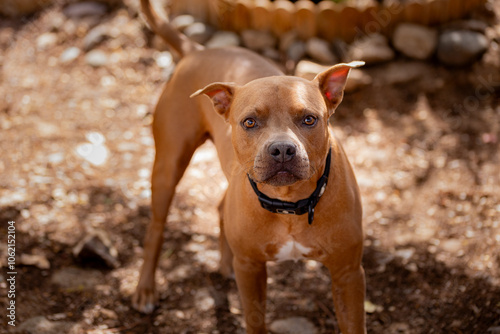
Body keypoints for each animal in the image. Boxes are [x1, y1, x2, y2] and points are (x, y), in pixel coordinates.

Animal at [133, 1, 366, 332]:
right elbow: (255, 321)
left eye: (309, 119)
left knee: (219, 206)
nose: (282, 150)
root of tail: (197, 50)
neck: (289, 205)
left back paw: (223, 263)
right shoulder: (251, 269)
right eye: (250, 122)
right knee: (155, 228)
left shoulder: (348, 273)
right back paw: (146, 289)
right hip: (168, 164)